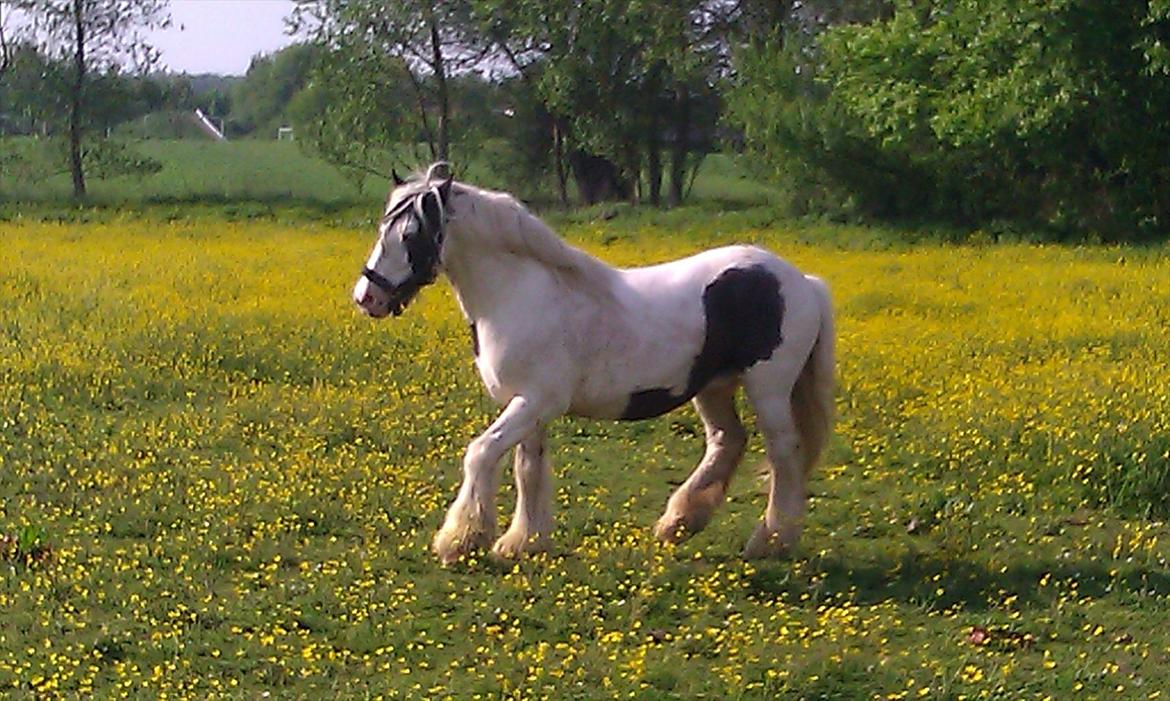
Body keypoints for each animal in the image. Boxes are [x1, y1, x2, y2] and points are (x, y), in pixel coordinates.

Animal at [351, 167, 837, 568]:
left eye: (412, 235)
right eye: (382, 227)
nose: (367, 298)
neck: (519, 293)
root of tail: (802, 281)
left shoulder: (534, 402)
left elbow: (482, 453)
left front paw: (461, 541)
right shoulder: (530, 406)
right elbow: (528, 469)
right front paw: (524, 543)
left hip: (768, 388)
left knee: (784, 454)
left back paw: (770, 541)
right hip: (713, 387)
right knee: (726, 441)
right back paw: (678, 524)